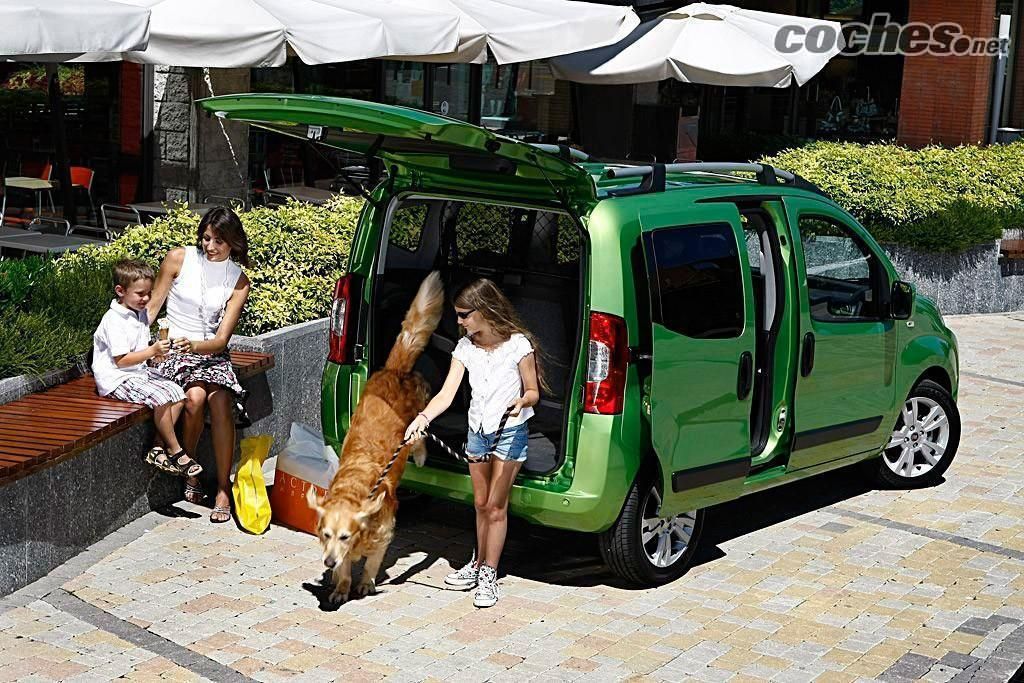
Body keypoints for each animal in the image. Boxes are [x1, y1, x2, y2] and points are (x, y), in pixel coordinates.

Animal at [307, 272, 444, 602]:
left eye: (345, 536)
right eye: (326, 535)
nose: (327, 561)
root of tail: (395, 370)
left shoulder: (384, 534)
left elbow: (371, 562)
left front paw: (366, 583)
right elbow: (345, 569)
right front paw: (340, 586)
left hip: (418, 416)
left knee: (419, 435)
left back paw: (421, 455)